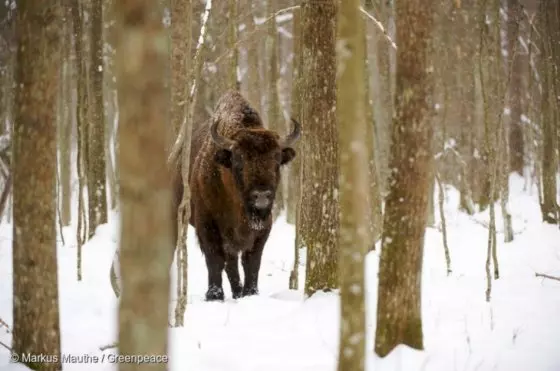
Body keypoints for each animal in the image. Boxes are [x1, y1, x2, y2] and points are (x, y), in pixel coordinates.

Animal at [172, 91, 300, 302]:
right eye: (239, 159)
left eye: (276, 158)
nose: (261, 195)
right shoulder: (207, 225)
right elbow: (215, 259)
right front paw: (214, 296)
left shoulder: (263, 229)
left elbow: (252, 262)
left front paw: (250, 293)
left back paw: (239, 292)